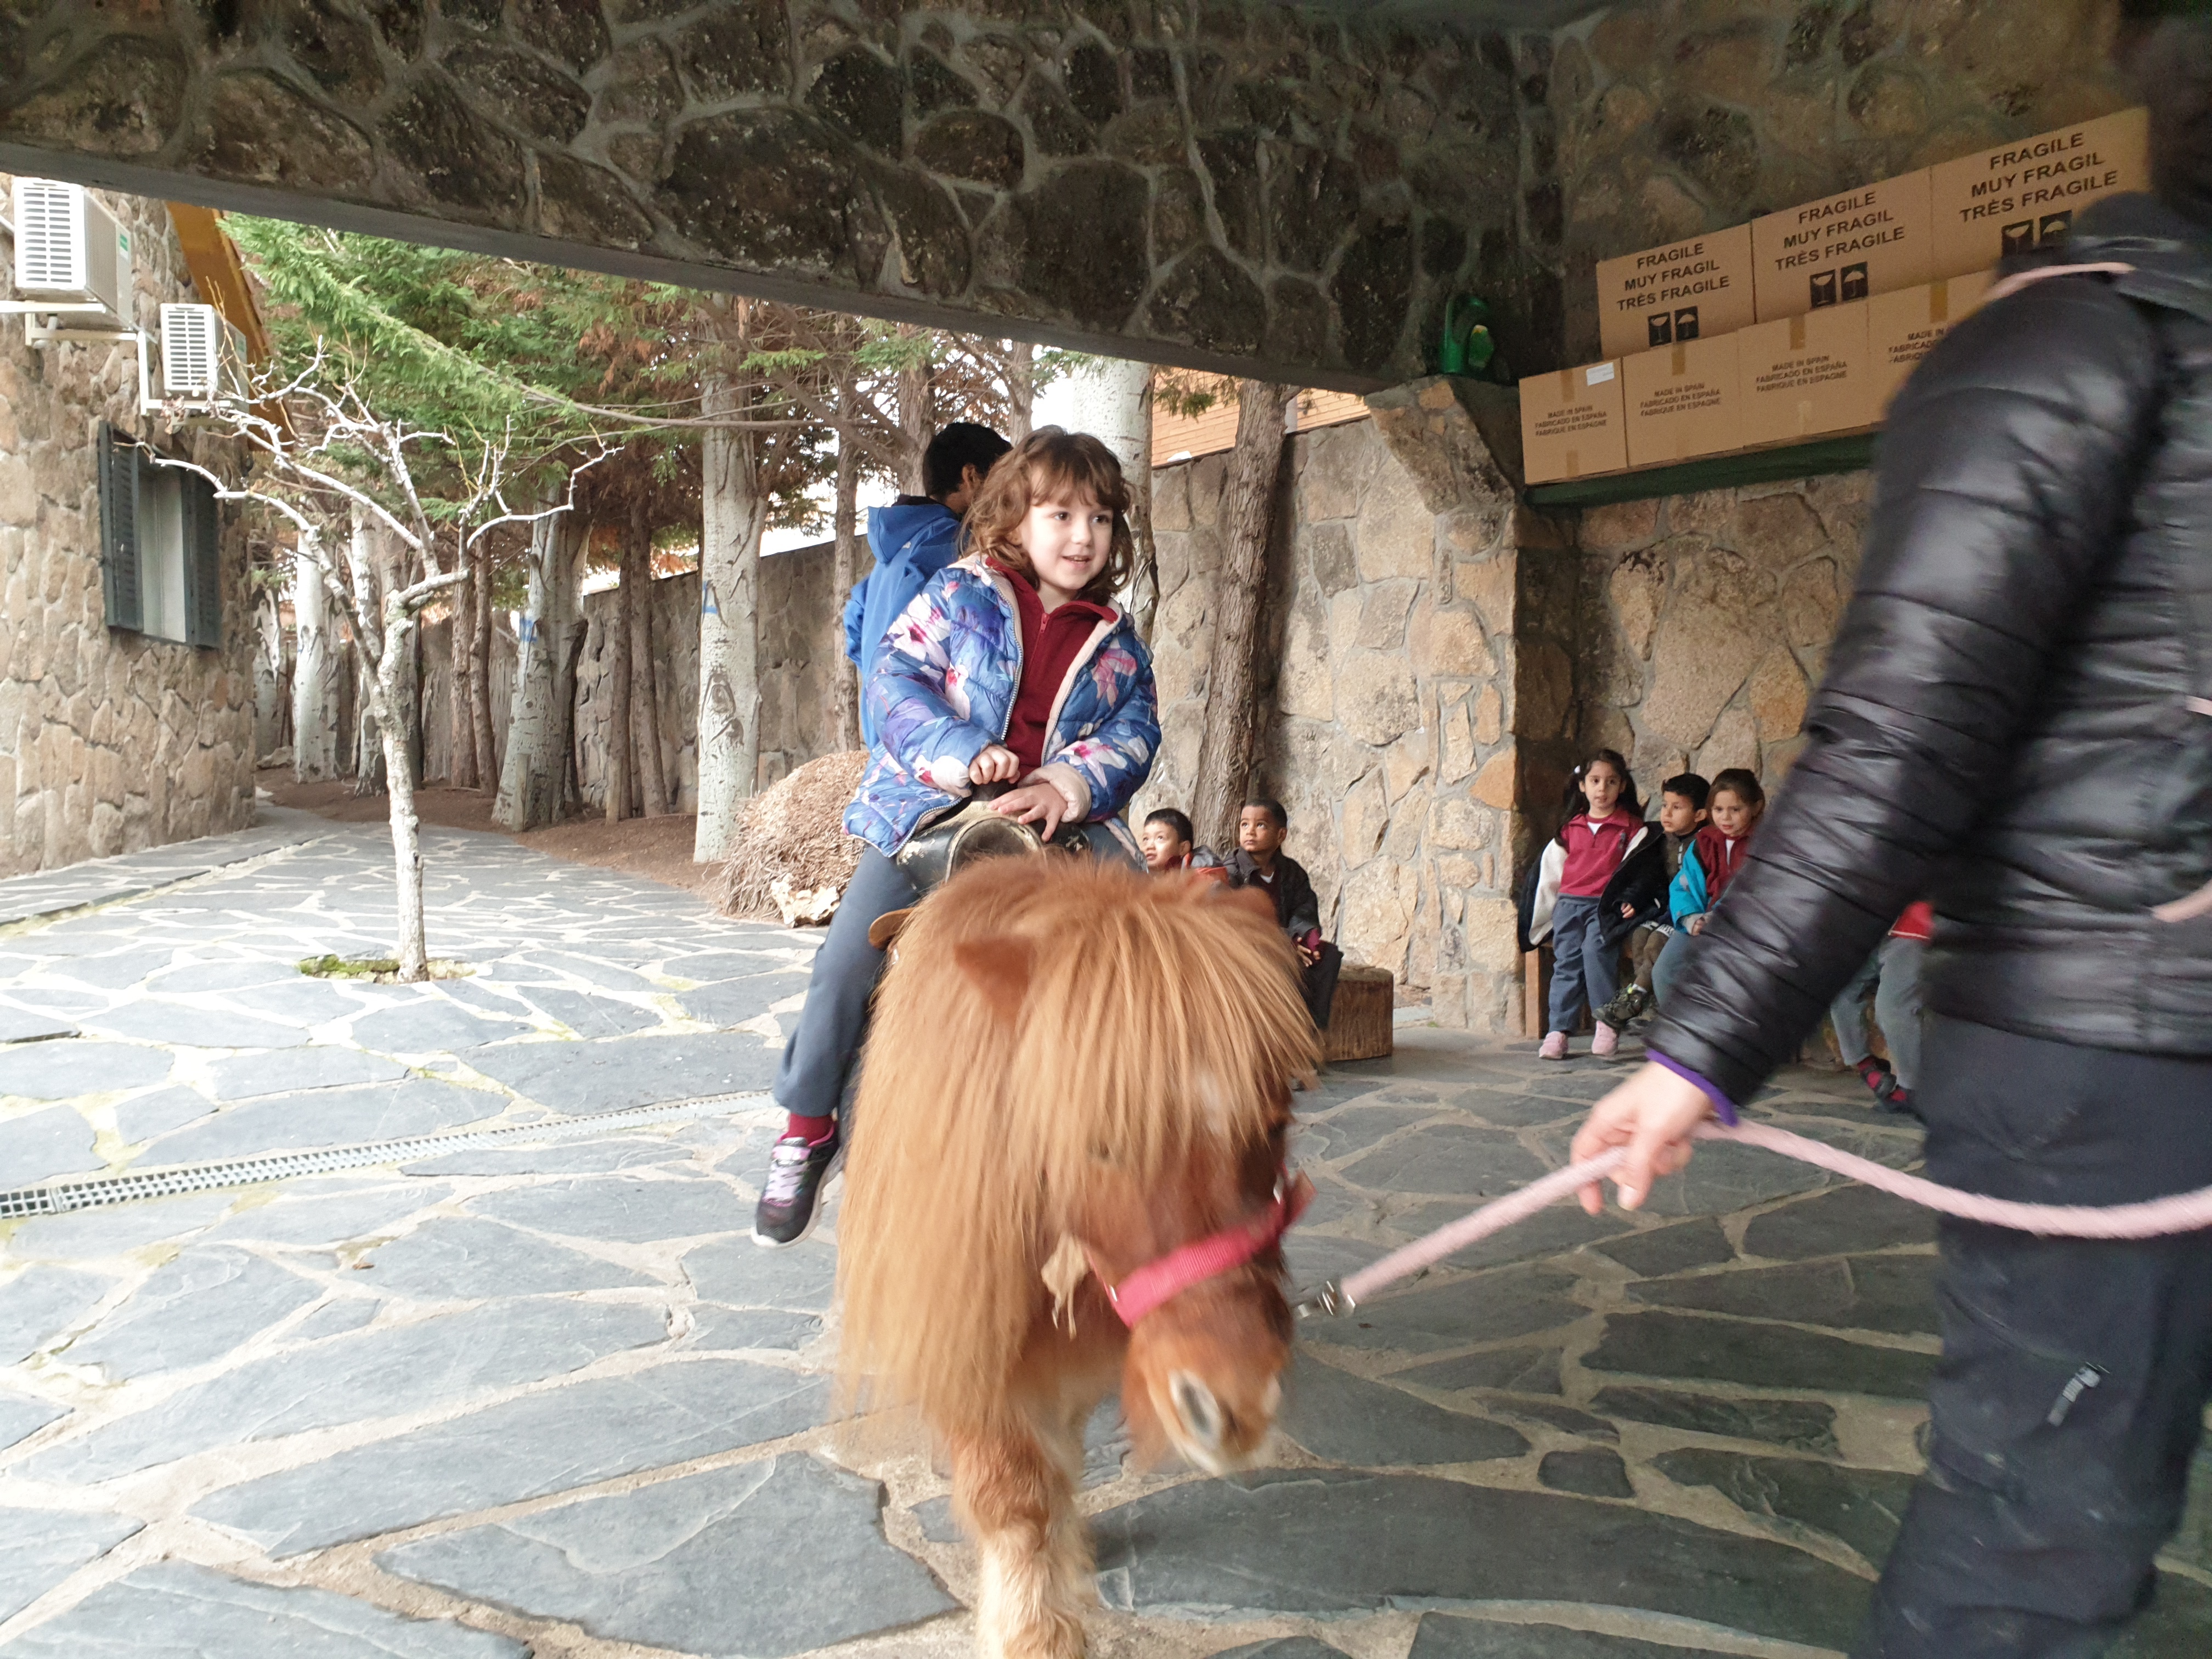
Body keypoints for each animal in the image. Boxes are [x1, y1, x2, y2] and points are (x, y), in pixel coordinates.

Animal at [836, 853, 1320, 1659]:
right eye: (1098, 1142)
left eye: (1277, 1122)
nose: (1236, 1408)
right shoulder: (963, 1319)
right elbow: (1013, 1491)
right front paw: (1036, 1631)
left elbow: (1058, 1459)